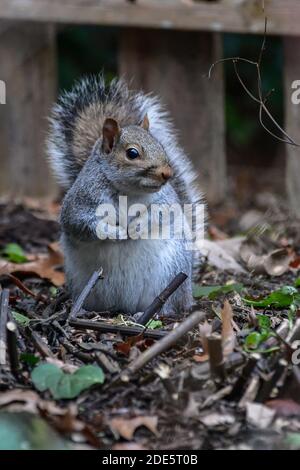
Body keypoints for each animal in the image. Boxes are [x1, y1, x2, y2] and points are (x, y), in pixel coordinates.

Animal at [47, 74, 203, 316]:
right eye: (132, 153)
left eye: (161, 146)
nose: (168, 174)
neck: (127, 191)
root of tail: (123, 307)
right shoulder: (78, 204)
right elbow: (80, 224)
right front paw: (116, 232)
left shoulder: (165, 201)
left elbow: (161, 215)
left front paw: (135, 227)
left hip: (170, 274)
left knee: (168, 306)